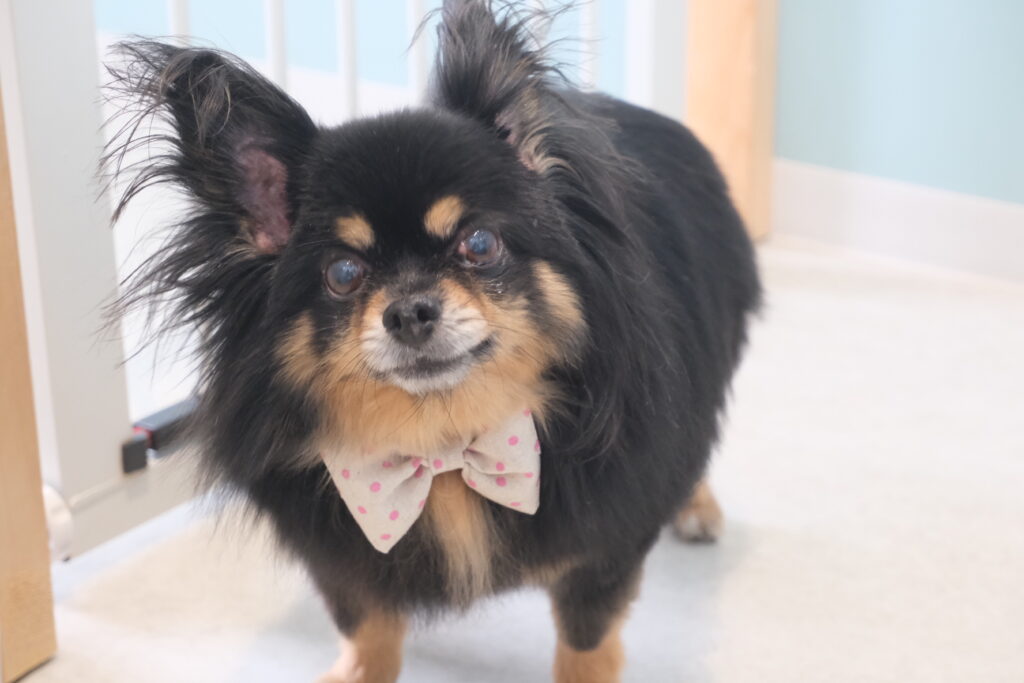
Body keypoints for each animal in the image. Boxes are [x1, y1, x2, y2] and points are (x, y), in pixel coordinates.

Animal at [104, 1, 760, 680]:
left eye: (480, 243)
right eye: (343, 274)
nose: (410, 311)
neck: (443, 446)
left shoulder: (602, 554)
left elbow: (586, 645)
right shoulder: (348, 566)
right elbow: (367, 630)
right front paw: (355, 671)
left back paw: (696, 507)